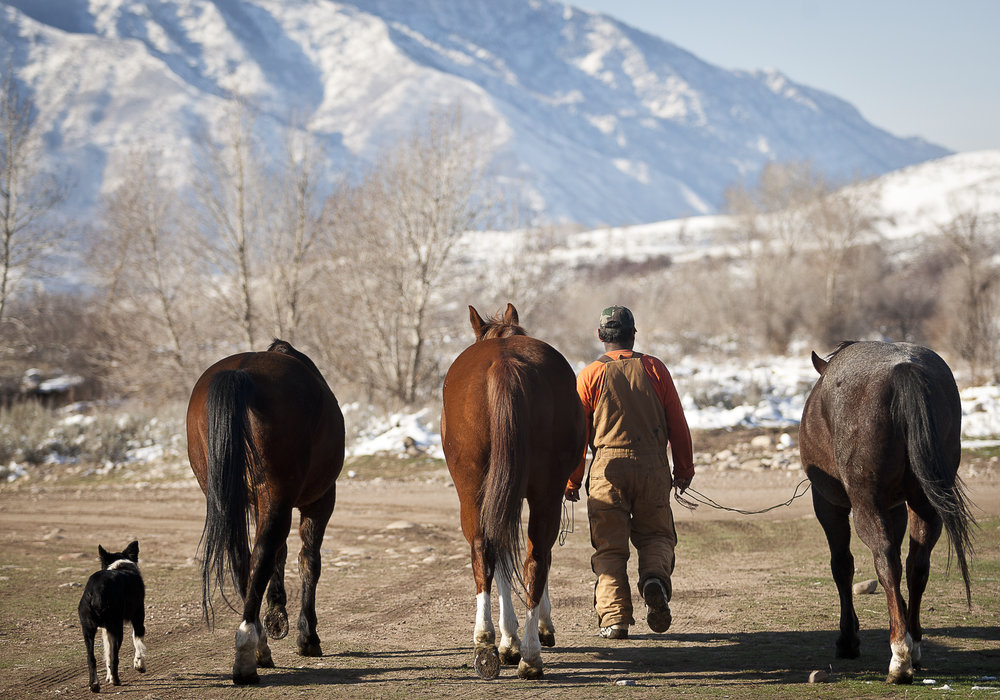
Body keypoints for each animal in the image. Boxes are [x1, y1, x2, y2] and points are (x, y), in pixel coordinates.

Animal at [78, 540, 147, 692]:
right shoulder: (138, 618)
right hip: (117, 627)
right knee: (115, 656)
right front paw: (139, 665)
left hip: (88, 630)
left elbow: (107, 653)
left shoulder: (106, 630)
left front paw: (108, 677)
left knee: (91, 658)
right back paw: (116, 680)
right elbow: (137, 642)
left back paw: (94, 684)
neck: (120, 563)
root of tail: (96, 591)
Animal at [186, 340, 346, 684]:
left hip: (227, 496)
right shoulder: (321, 501)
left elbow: (279, 555)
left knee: (243, 558)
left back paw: (257, 640)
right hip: (280, 497)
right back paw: (249, 649)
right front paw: (306, 635)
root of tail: (242, 371)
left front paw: (276, 617)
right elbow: (308, 561)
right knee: (261, 554)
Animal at [440, 302, 584, 680]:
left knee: (485, 548)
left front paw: (508, 639)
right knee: (534, 557)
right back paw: (527, 652)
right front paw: (515, 637)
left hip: (473, 488)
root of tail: (505, 365)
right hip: (543, 491)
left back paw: (491, 641)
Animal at [800, 344, 972, 684]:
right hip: (924, 504)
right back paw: (912, 643)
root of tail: (903, 370)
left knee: (886, 561)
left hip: (866, 506)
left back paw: (899, 657)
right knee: (917, 564)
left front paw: (848, 639)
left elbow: (842, 566)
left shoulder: (828, 504)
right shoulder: (895, 507)